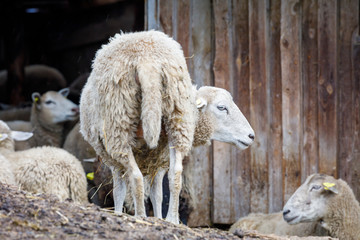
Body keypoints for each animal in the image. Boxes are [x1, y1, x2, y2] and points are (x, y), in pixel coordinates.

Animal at [80, 30, 255, 225]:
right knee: (173, 174)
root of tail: (146, 59)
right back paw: (170, 218)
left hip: (120, 127)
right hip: (175, 121)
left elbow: (130, 190)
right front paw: (159, 217)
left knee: (136, 176)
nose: (251, 136)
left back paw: (141, 216)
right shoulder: (159, 158)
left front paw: (137, 215)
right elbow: (154, 192)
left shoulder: (129, 158)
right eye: (222, 107)